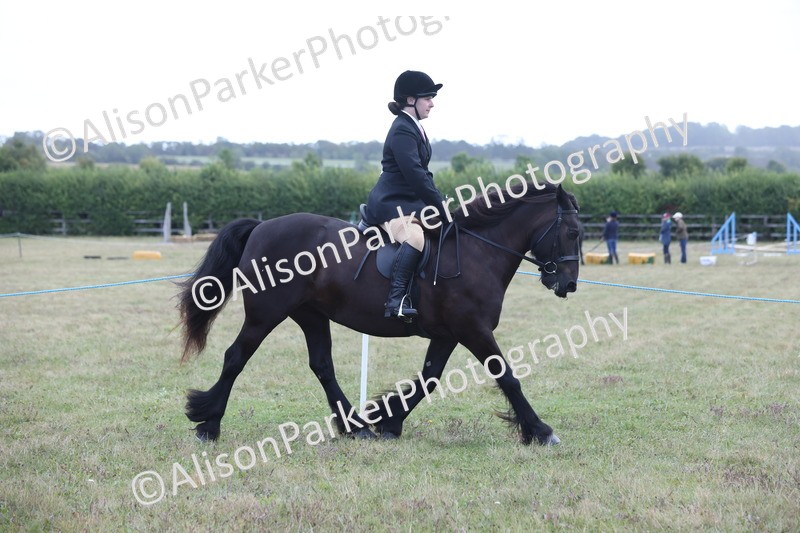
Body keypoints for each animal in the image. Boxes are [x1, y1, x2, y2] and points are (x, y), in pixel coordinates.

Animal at [177, 182, 581, 445]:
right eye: (573, 232)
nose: (568, 284)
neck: (478, 251)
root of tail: (261, 226)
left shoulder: (449, 334)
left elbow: (428, 379)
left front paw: (388, 420)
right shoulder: (473, 329)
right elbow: (507, 376)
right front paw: (541, 431)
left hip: (310, 315)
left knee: (322, 365)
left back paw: (354, 426)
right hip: (266, 313)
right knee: (235, 357)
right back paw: (208, 424)